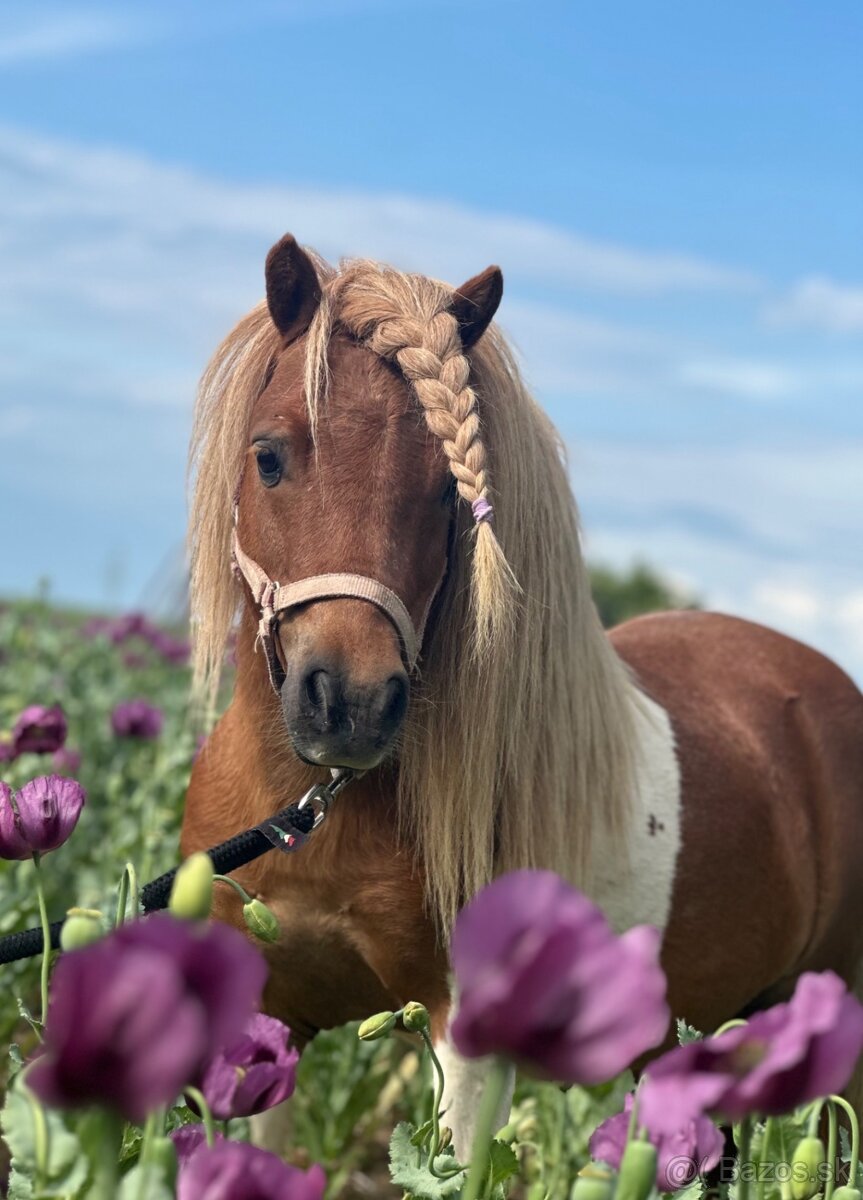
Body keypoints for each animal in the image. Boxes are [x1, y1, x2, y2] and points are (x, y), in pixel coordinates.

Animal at [180, 233, 863, 1156]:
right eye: (268, 455)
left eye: (448, 488)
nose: (350, 706)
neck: (312, 809)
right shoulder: (269, 1013)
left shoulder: (463, 1044)